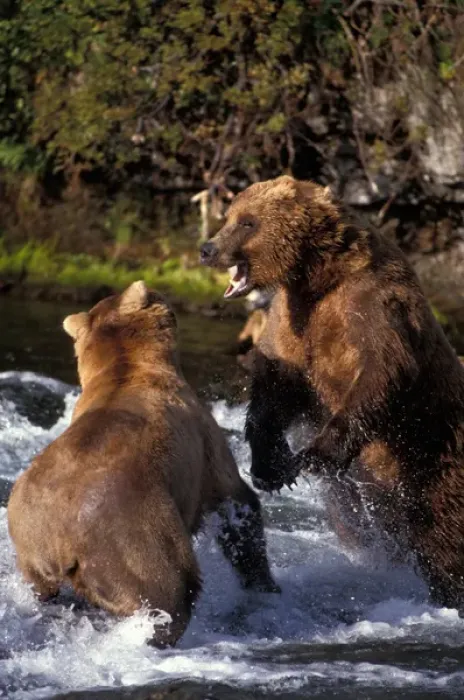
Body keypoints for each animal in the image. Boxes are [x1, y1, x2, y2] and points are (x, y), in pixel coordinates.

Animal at [7, 281, 278, 647]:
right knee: (171, 590)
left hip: (31, 554)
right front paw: (264, 582)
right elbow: (235, 503)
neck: (130, 365)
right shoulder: (204, 438)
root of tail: (61, 538)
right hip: (136, 534)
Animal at [200, 174, 464, 610]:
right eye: (230, 215)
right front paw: (270, 467)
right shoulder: (292, 320)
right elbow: (276, 386)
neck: (316, 276)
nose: (207, 248)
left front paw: (311, 456)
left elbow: (380, 375)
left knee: (443, 539)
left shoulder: (370, 308)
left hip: (434, 461)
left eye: (247, 222)